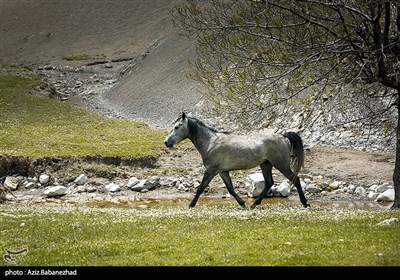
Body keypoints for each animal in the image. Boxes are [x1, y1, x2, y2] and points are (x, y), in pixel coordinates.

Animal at [163, 112, 310, 209]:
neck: (211, 142)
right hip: (266, 165)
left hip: (281, 165)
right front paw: (243, 204)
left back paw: (304, 203)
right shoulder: (222, 172)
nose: (166, 142)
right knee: (269, 183)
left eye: (177, 127)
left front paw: (191, 205)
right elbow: (231, 189)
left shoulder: (211, 170)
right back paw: (254, 204)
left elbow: (201, 188)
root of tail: (283, 136)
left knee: (295, 179)